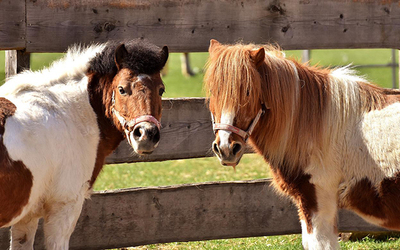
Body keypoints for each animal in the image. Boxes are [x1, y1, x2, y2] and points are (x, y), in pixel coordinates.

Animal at [0, 40, 168, 249]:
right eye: (122, 89)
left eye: (161, 90)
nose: (146, 134)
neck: (67, 112)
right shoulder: (64, 208)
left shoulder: (27, 216)